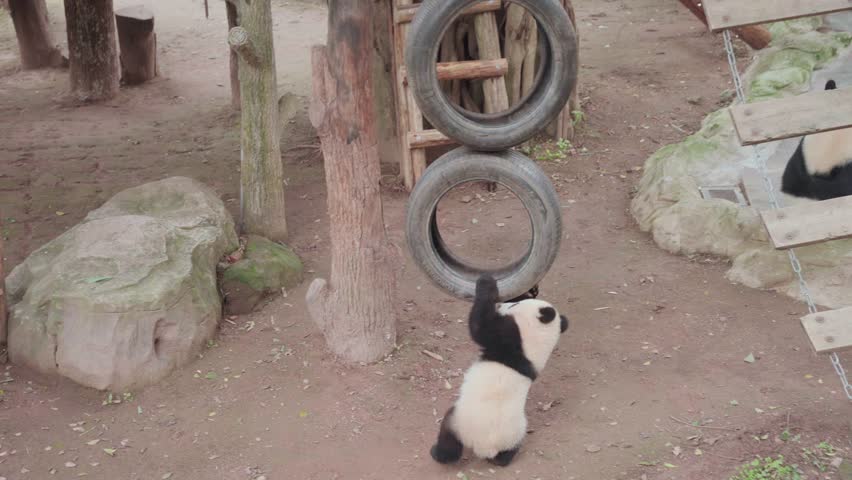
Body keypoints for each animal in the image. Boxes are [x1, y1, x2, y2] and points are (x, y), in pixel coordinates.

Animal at [430, 275, 569, 467]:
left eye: (514, 305)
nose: (501, 305)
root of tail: (485, 448)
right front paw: (529, 289)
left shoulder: (508, 338)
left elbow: (480, 327)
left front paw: (486, 281)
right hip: (516, 432)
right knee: (509, 451)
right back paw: (502, 460)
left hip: (461, 421)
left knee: (448, 436)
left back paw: (438, 454)